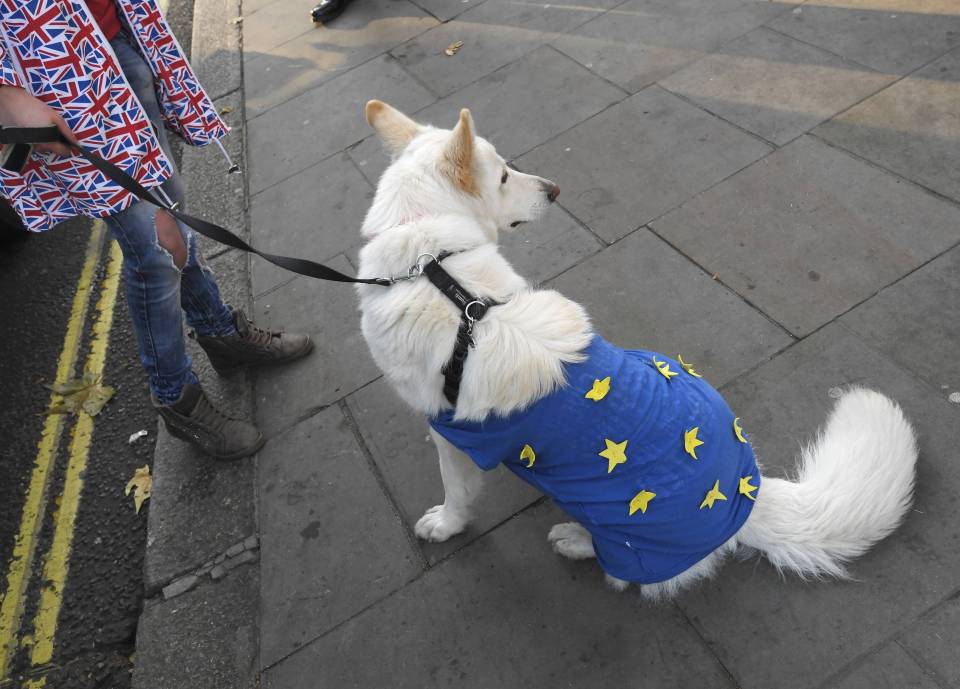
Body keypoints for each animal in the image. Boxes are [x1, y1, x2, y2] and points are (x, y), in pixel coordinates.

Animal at [356, 99, 920, 600]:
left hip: (611, 506)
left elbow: (456, 493)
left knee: (624, 570)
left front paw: (444, 525)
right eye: (502, 178)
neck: (431, 263)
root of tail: (746, 499)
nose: (555, 189)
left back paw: (576, 539)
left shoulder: (453, 435)